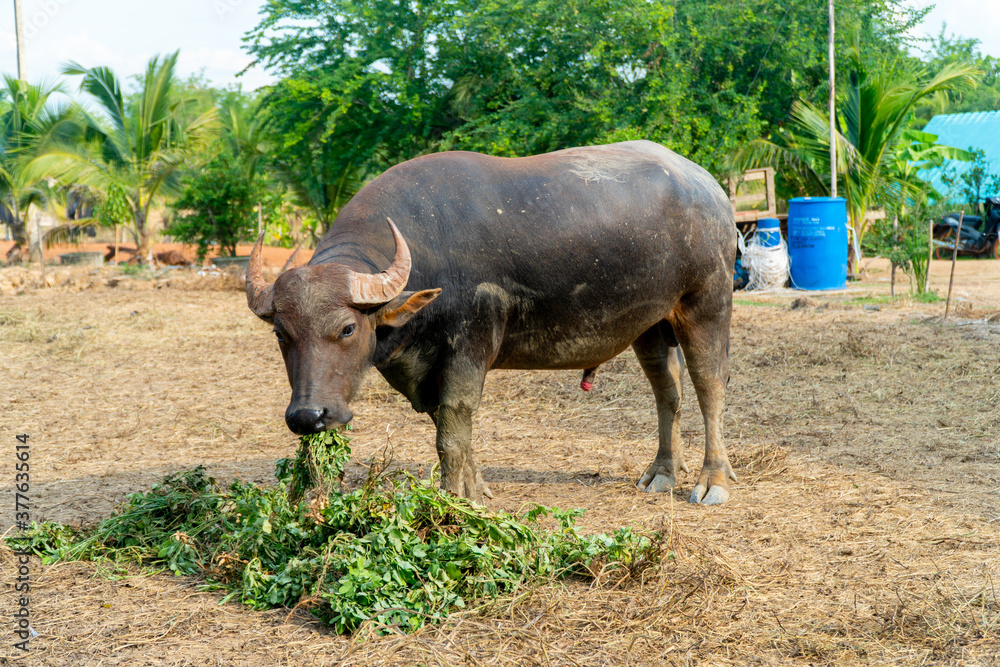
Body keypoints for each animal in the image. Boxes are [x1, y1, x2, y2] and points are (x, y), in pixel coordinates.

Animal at [247, 140, 737, 504]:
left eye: (347, 329)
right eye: (280, 334)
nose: (309, 416)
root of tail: (711, 190)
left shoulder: (471, 342)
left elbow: (452, 423)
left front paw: (453, 499)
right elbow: (449, 427)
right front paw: (475, 486)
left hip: (707, 302)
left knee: (710, 386)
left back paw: (712, 481)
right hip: (649, 325)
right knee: (668, 392)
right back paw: (662, 472)